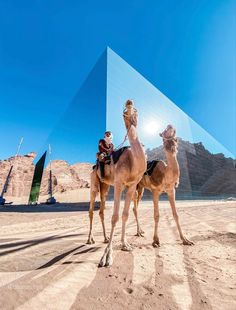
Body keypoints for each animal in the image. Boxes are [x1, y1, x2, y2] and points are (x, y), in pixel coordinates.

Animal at [87, 99, 147, 266]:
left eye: (135, 109)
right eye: (124, 111)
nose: (129, 101)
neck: (134, 160)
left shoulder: (132, 186)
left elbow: (125, 214)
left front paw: (125, 244)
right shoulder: (119, 183)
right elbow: (115, 217)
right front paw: (107, 256)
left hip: (106, 186)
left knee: (101, 210)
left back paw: (105, 237)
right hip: (94, 183)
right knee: (91, 210)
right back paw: (90, 239)